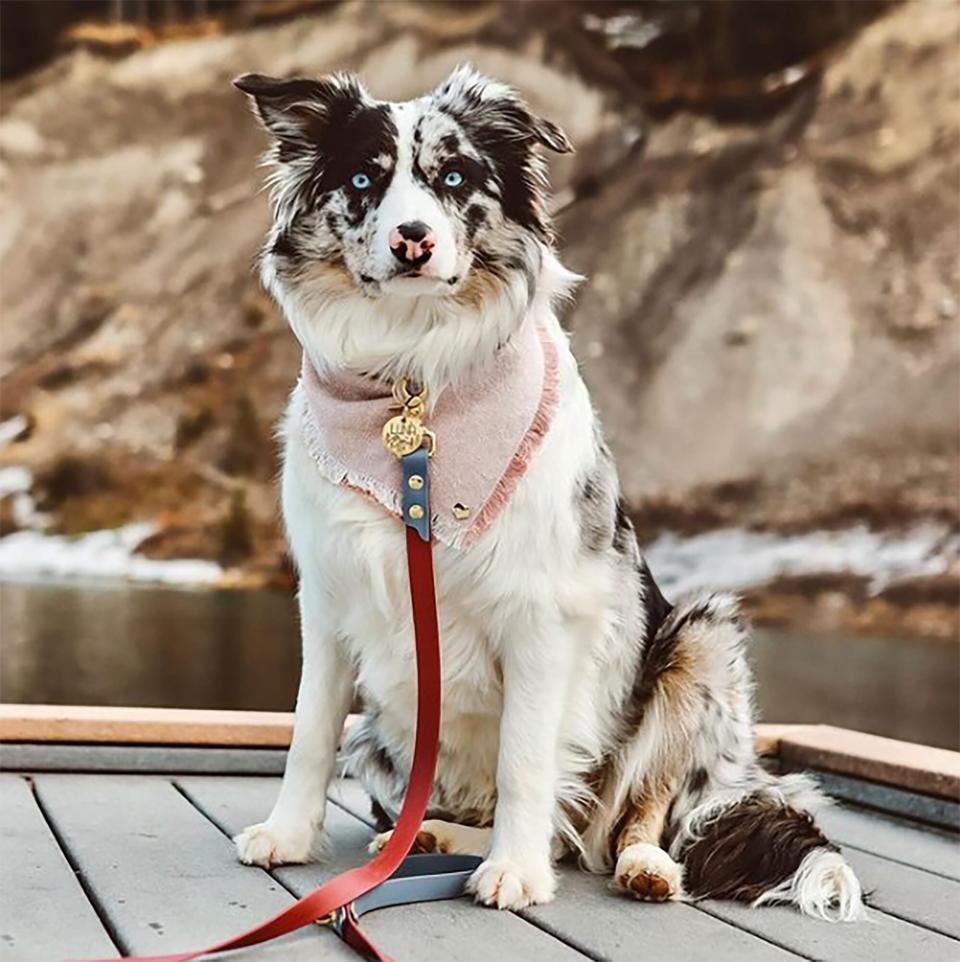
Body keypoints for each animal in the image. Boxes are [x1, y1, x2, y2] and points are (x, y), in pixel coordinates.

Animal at [231, 63, 864, 920]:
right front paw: (289, 834)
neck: (413, 375)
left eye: (455, 178)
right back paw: (433, 835)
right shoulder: (328, 597)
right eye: (364, 178)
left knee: (630, 815)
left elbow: (526, 757)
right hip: (382, 739)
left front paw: (516, 871)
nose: (412, 239)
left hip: (700, 643)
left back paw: (637, 865)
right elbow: (308, 731)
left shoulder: (545, 608)